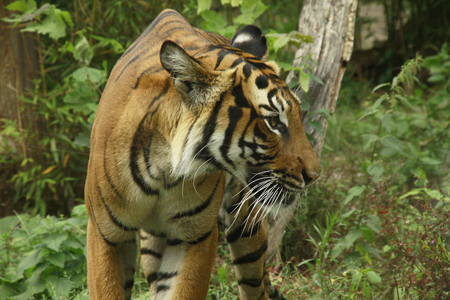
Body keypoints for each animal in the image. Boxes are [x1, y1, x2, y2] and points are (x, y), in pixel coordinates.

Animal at [84, 8, 322, 298]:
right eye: (274, 121)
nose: (314, 175)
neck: (164, 169)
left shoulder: (194, 235)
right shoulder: (106, 234)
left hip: (246, 223)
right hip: (152, 245)